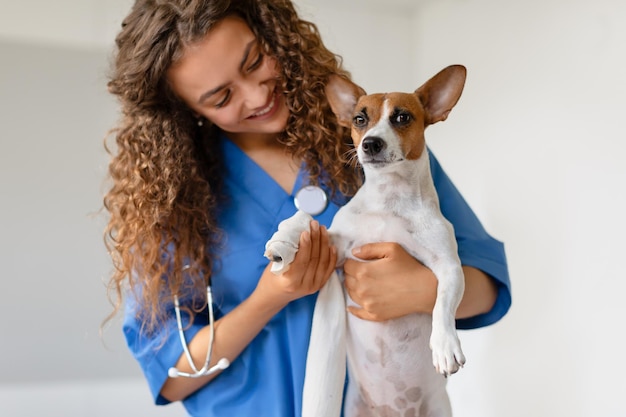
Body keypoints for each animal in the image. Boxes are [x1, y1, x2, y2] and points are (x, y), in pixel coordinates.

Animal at [266, 64, 466, 416]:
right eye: (360, 119)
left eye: (402, 117)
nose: (371, 143)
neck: (389, 200)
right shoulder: (336, 247)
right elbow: (305, 219)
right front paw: (284, 241)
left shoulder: (450, 266)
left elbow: (442, 302)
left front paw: (445, 344)